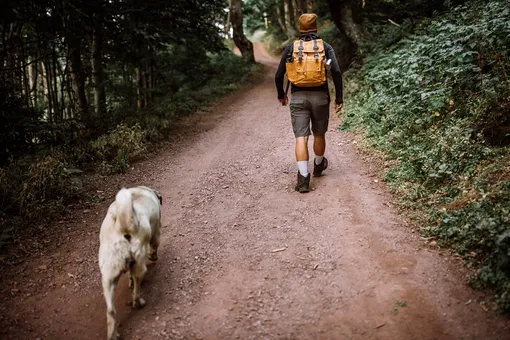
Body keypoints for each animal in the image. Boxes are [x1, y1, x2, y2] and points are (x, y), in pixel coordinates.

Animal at [98, 186, 162, 340]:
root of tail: (123, 226)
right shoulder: (156, 231)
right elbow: (155, 246)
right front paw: (153, 256)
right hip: (139, 264)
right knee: (136, 290)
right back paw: (139, 303)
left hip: (108, 277)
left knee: (111, 310)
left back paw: (113, 334)